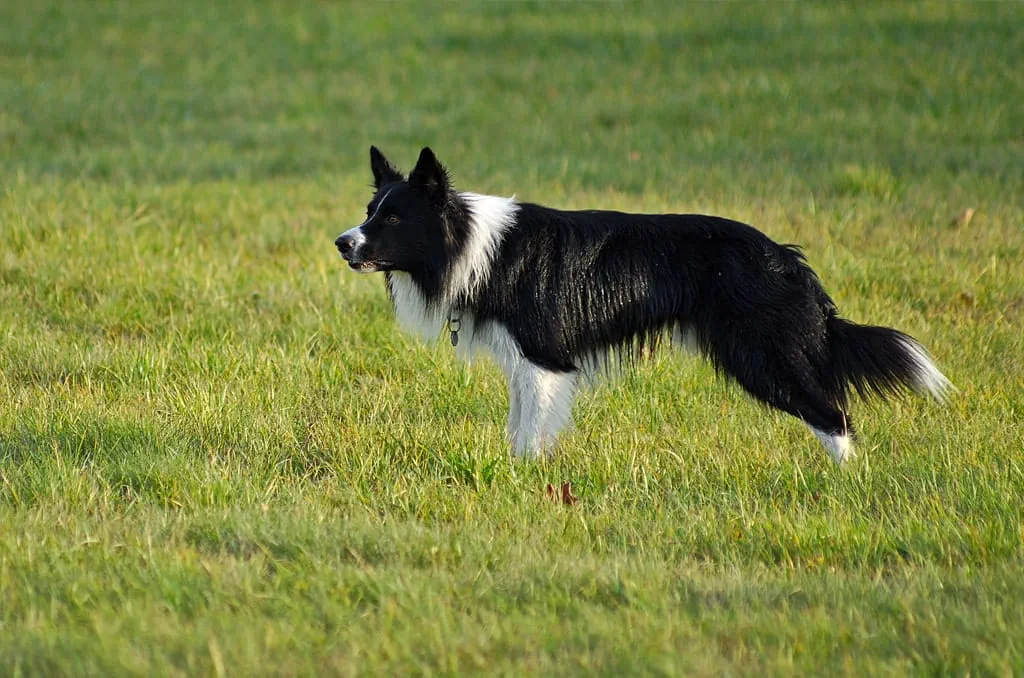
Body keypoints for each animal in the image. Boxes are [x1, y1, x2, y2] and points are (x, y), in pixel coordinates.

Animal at [335, 148, 950, 464]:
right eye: (369, 211)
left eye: (394, 218)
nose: (342, 242)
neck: (471, 242)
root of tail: (789, 261)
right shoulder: (526, 364)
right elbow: (518, 428)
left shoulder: (544, 360)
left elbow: (531, 434)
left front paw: (527, 483)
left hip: (762, 356)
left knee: (835, 417)